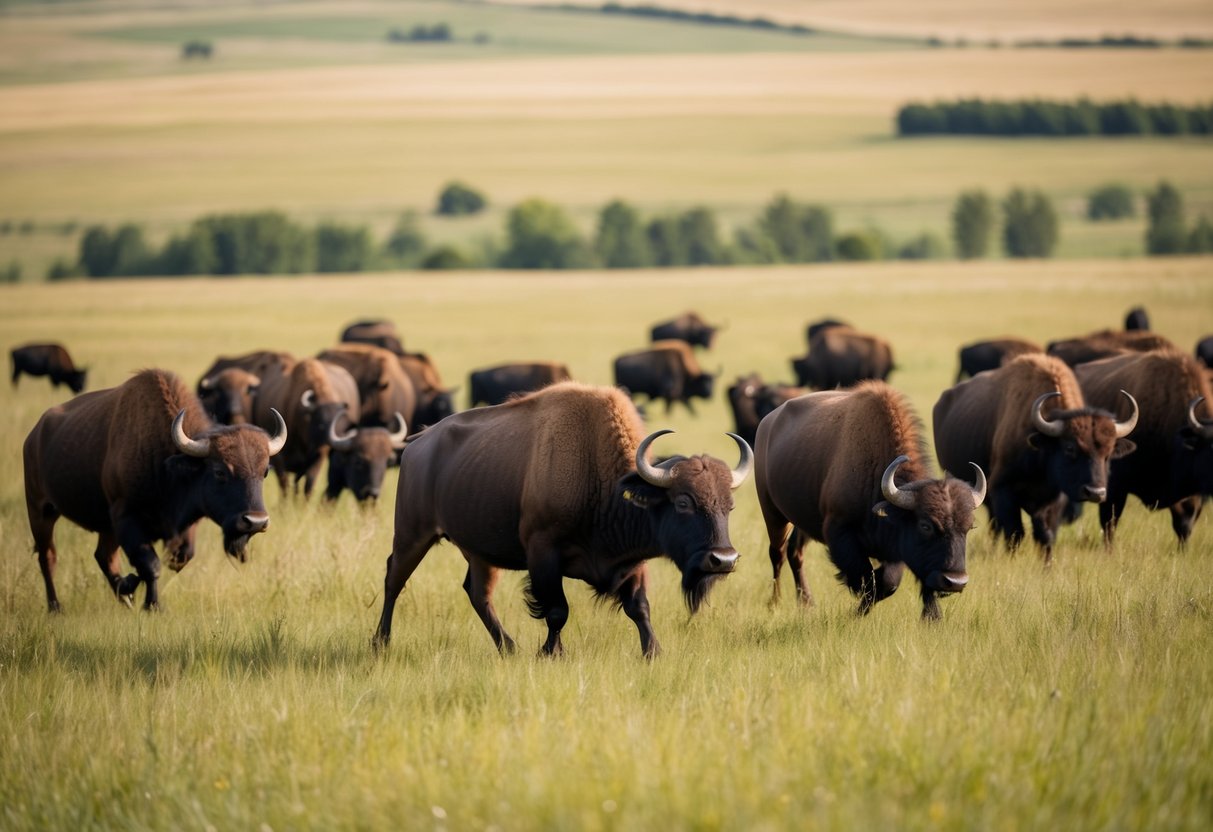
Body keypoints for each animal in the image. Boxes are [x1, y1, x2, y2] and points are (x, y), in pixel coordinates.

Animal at [22, 369, 286, 611]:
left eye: (264, 471)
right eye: (220, 471)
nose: (255, 521)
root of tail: (34, 435)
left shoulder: (183, 525)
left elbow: (177, 559)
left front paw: (131, 588)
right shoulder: (126, 518)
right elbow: (150, 563)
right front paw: (152, 605)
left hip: (104, 527)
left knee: (103, 556)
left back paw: (124, 596)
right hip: (41, 512)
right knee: (48, 557)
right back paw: (55, 607)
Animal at [374, 382, 753, 658]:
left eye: (730, 506)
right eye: (683, 502)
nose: (723, 559)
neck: (602, 477)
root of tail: (418, 443)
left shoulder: (632, 563)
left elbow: (639, 608)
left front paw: (653, 652)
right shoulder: (543, 552)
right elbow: (557, 610)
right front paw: (551, 653)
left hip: (477, 551)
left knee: (478, 594)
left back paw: (508, 648)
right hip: (412, 535)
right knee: (394, 579)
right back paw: (381, 642)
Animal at [755, 381, 985, 620]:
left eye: (969, 527)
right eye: (925, 525)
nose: (955, 581)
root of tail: (767, 423)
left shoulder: (894, 548)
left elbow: (888, 582)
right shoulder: (839, 530)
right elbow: (867, 578)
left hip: (802, 522)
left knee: (795, 553)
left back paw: (807, 602)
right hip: (773, 514)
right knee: (778, 554)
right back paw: (774, 603)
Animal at [933, 354, 1137, 560]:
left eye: (1108, 452)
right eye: (1070, 447)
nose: (1096, 493)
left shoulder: (1054, 500)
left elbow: (1045, 535)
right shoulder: (1002, 489)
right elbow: (1015, 532)